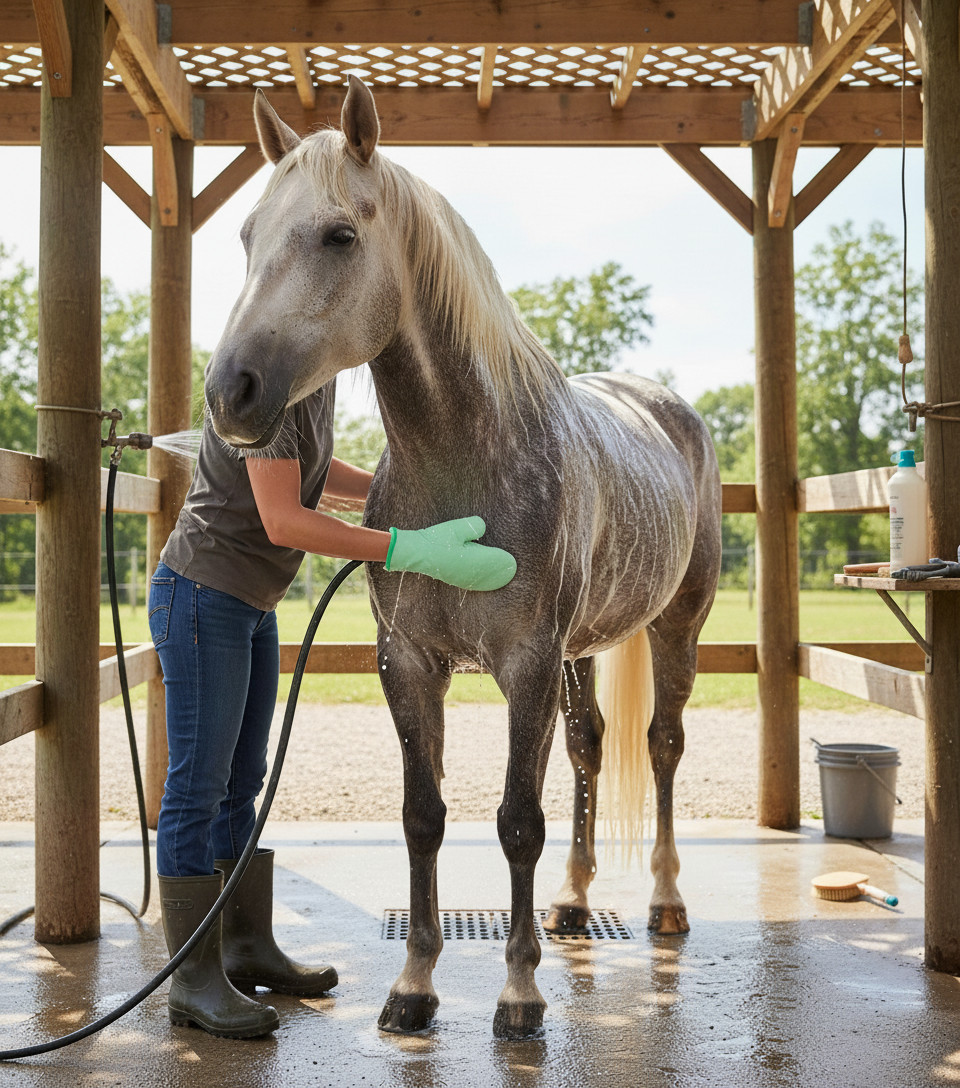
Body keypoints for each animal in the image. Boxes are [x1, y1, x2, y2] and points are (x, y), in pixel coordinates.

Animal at [204, 77, 722, 1040]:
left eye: (339, 235)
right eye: (249, 235)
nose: (229, 394)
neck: (463, 464)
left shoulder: (526, 666)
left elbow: (517, 819)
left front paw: (519, 996)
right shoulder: (410, 663)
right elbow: (424, 817)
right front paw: (413, 987)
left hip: (677, 626)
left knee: (662, 746)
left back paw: (666, 903)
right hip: (581, 652)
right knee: (591, 749)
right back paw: (572, 902)